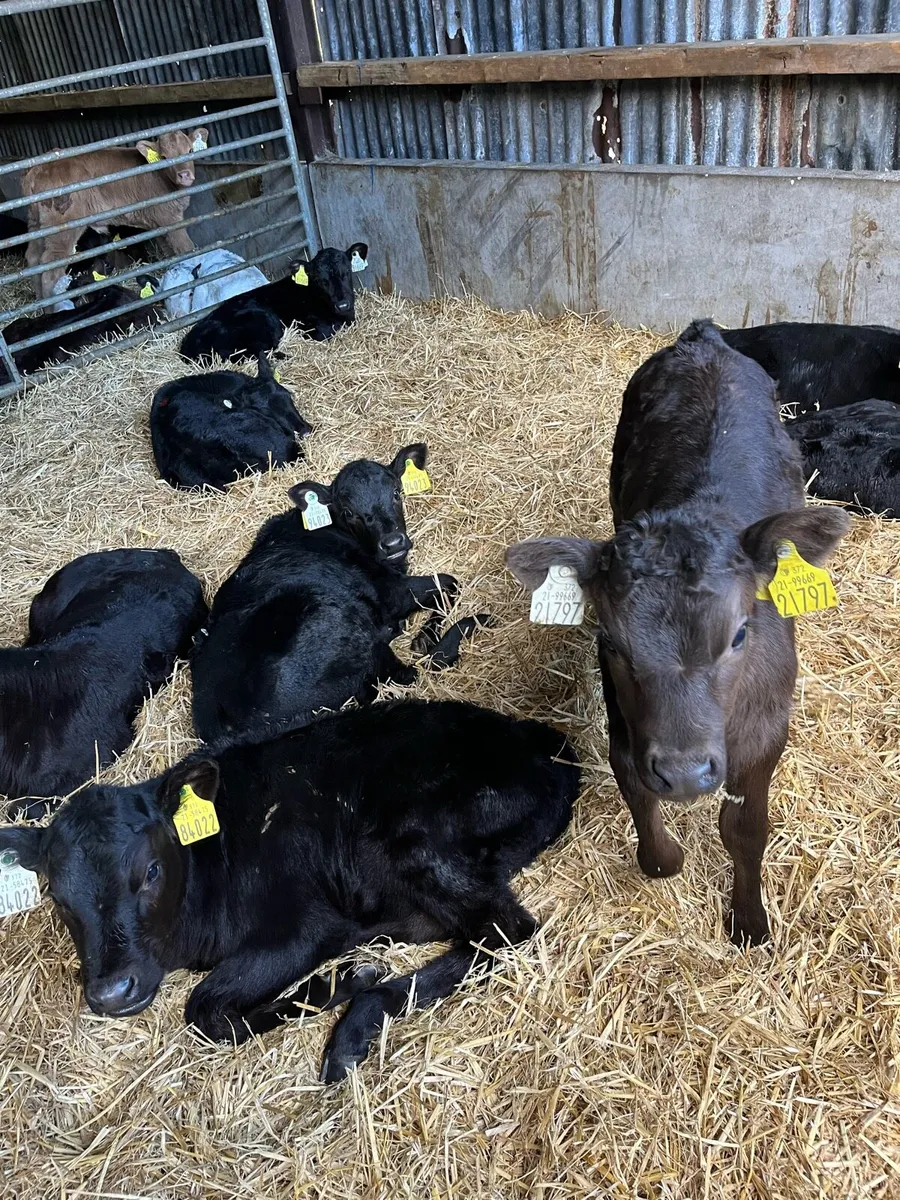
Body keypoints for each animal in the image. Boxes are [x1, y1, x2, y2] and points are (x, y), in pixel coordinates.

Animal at [0, 699, 580, 1082]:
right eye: (56, 896)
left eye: (151, 871)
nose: (110, 993)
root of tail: (532, 738)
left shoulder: (305, 927)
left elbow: (204, 1009)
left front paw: (337, 985)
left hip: (411, 838)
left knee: (504, 928)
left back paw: (356, 1025)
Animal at [22, 127, 208, 299]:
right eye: (164, 157)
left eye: (190, 151)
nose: (185, 175)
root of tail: (38, 167)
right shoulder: (170, 218)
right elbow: (186, 248)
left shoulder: (159, 223)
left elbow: (169, 251)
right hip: (63, 227)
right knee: (50, 269)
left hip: (36, 223)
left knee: (33, 258)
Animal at [179, 243, 369, 364]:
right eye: (320, 280)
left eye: (347, 271)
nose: (342, 305)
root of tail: (186, 346)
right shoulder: (309, 324)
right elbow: (325, 331)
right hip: (263, 319)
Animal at [191, 443, 488, 742]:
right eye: (348, 511)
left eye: (396, 492)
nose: (393, 543)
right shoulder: (392, 592)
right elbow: (449, 583)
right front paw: (425, 637)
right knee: (413, 670)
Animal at [507, 320, 850, 947]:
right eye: (612, 642)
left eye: (740, 636)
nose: (687, 773)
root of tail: (705, 339)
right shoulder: (626, 724)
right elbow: (638, 793)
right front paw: (665, 860)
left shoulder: (767, 728)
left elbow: (744, 827)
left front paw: (749, 921)